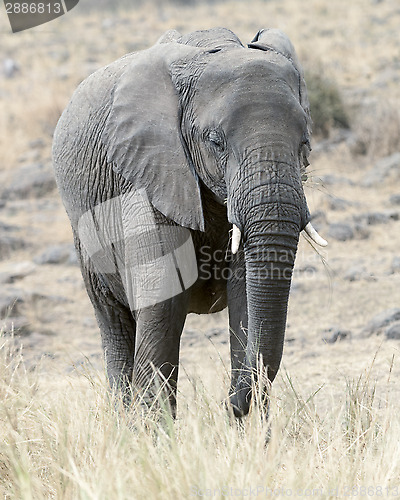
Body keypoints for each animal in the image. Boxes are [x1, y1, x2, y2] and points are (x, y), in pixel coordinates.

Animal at [53, 27, 326, 418]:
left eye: (305, 141)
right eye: (215, 141)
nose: (231, 405)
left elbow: (246, 298)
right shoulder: (149, 174)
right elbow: (163, 304)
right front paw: (153, 433)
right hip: (84, 234)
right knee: (113, 320)